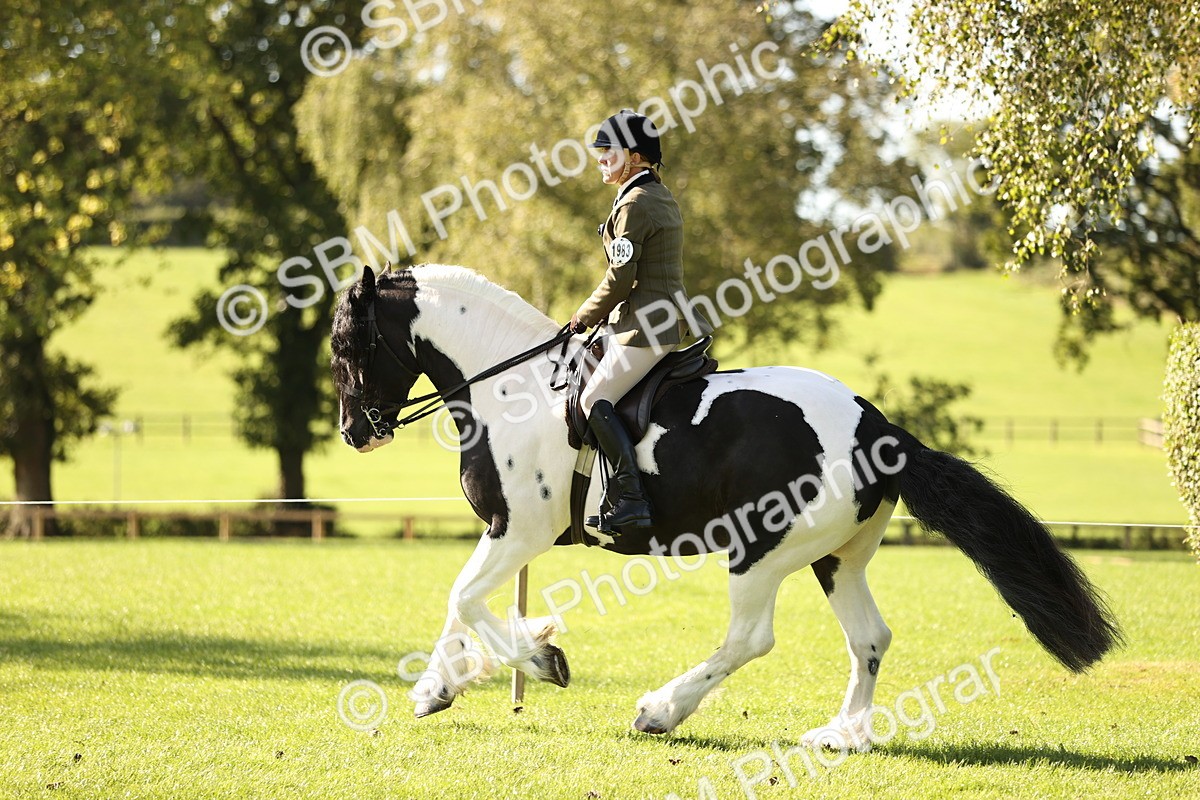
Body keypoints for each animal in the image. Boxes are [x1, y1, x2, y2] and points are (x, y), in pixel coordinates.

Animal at [330, 263, 1121, 747]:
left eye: (347, 346)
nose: (354, 432)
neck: (513, 388)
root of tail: (880, 429)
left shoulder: (520, 530)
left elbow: (465, 597)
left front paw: (541, 656)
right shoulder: (504, 533)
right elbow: (458, 600)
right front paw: (437, 688)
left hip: (763, 551)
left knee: (751, 639)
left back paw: (659, 711)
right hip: (837, 558)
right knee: (870, 638)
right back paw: (841, 735)